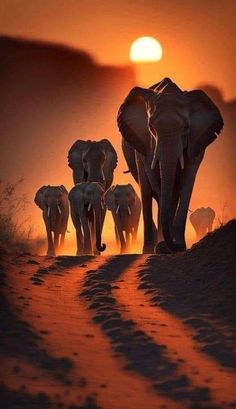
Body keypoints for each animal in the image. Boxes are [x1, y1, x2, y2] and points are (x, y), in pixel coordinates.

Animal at [117, 75, 224, 252]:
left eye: (186, 128)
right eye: (151, 127)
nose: (168, 246)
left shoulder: (197, 141)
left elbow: (186, 182)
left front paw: (178, 245)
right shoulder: (145, 142)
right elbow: (156, 181)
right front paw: (163, 246)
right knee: (147, 190)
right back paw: (150, 248)